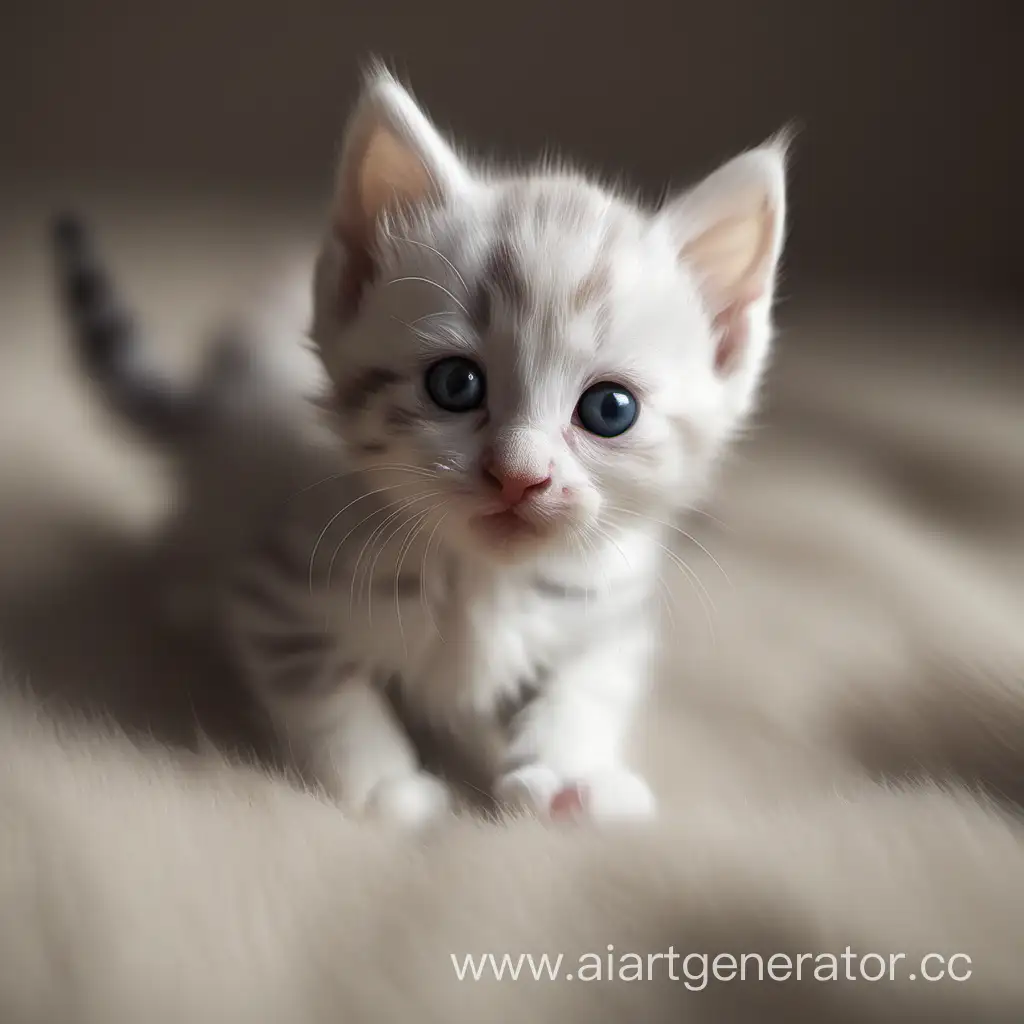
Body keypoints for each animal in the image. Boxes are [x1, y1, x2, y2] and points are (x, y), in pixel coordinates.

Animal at [51, 70, 786, 823]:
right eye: (456, 383)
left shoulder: (606, 608)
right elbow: (325, 693)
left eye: (610, 410)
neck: (482, 579)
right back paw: (189, 594)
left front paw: (568, 770)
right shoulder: (280, 593)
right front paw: (385, 787)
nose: (520, 476)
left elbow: (587, 682)